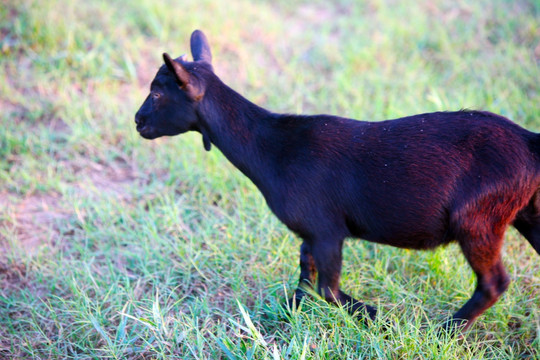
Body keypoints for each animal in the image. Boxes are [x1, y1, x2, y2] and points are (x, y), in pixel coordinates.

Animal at [136, 29, 540, 334]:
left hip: (477, 219)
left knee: (493, 282)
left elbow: (328, 289)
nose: (137, 121)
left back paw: (444, 330)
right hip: (527, 212)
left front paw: (379, 318)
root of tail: (529, 141)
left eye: (157, 93)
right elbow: (306, 273)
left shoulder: (327, 230)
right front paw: (290, 310)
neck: (273, 147)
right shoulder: (311, 232)